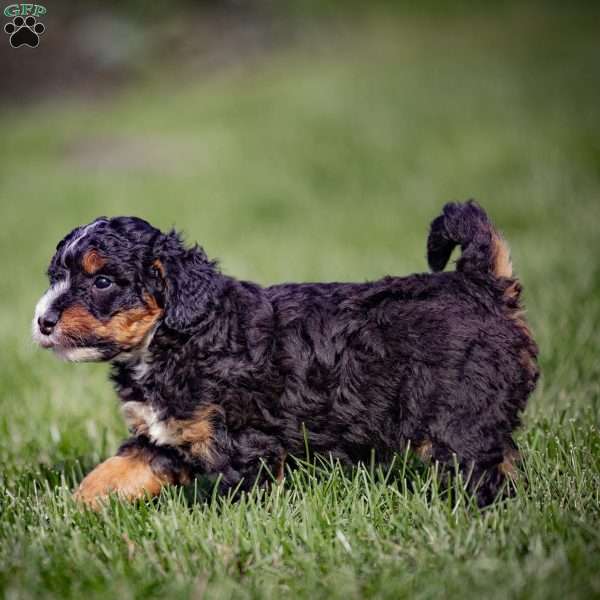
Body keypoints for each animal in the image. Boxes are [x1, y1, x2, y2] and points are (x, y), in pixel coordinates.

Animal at [32, 202, 540, 506]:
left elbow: (239, 502)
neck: (178, 335)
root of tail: (482, 285)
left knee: (482, 471)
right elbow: (110, 474)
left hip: (459, 416)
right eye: (55, 277)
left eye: (102, 281)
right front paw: (67, 513)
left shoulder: (245, 444)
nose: (42, 320)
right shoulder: (166, 437)